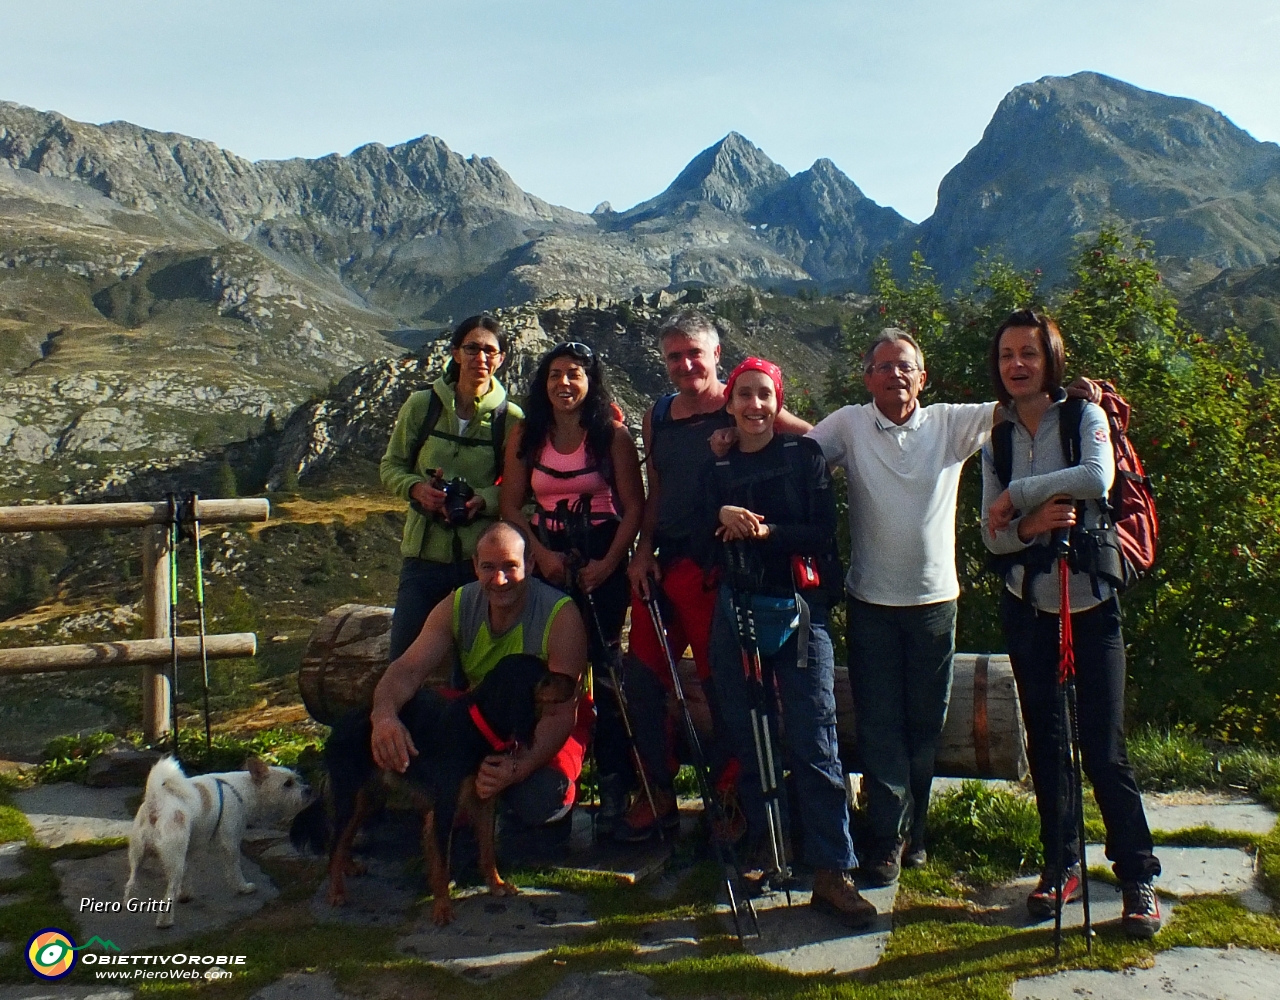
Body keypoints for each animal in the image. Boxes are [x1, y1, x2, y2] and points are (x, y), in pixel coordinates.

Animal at [124, 758, 312, 927]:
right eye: (288, 784)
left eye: (298, 779)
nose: (309, 789)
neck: (242, 789)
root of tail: (155, 803)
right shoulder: (230, 843)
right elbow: (234, 869)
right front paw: (243, 888)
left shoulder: (191, 847)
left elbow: (188, 872)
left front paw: (186, 894)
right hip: (174, 860)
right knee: (169, 891)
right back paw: (165, 922)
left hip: (138, 857)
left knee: (130, 886)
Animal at [293, 650, 578, 927]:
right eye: (545, 677)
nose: (575, 683)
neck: (479, 725)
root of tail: (338, 726)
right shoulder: (444, 808)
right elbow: (442, 864)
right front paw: (442, 909)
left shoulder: (484, 800)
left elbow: (487, 849)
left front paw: (496, 885)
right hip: (351, 797)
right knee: (335, 844)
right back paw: (336, 892)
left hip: (368, 799)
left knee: (342, 839)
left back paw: (349, 866)